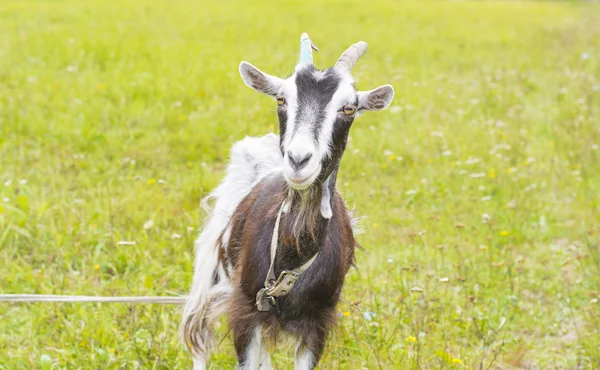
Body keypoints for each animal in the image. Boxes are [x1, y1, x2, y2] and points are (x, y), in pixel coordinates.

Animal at [185, 33, 396, 368]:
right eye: (281, 99)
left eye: (349, 108)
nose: (298, 160)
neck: (292, 257)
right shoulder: (246, 313)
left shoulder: (317, 323)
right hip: (211, 266)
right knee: (199, 338)